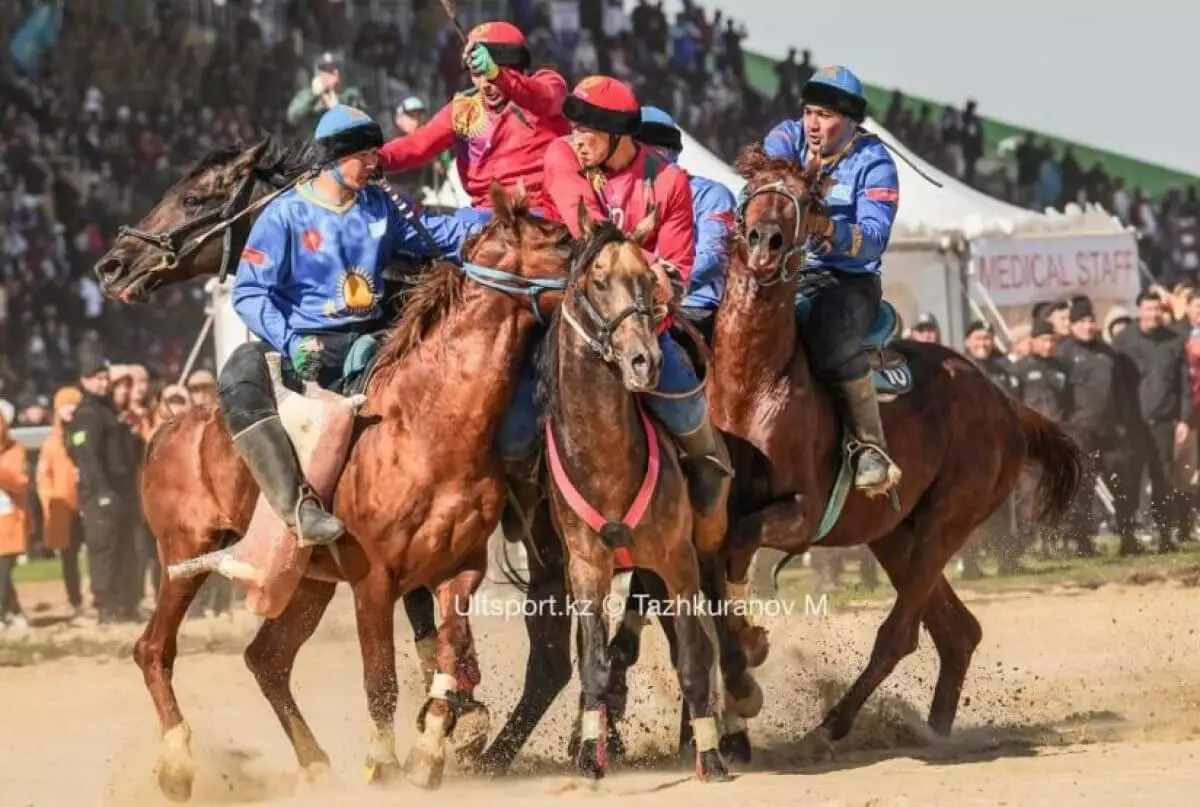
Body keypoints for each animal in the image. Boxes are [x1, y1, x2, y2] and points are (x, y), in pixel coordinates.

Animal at [93, 154, 571, 797]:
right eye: (561, 240)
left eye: (194, 197)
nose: (114, 264)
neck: (426, 419)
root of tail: (167, 428)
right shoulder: (376, 579)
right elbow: (385, 675)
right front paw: (394, 758)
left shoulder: (457, 567)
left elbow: (448, 651)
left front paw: (438, 740)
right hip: (188, 555)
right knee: (156, 649)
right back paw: (178, 763)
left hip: (305, 580)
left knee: (265, 659)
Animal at [667, 143, 1089, 758]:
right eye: (751, 190)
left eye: (810, 199)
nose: (766, 241)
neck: (753, 383)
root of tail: (1005, 402)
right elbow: (714, 584)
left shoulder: (801, 514)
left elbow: (742, 549)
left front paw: (752, 643)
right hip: (895, 534)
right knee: (957, 632)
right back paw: (933, 730)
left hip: (946, 522)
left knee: (902, 634)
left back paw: (834, 726)